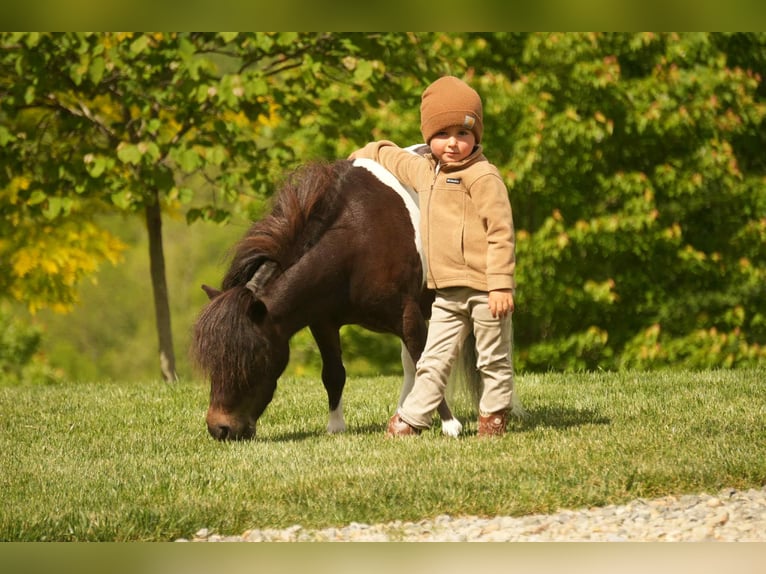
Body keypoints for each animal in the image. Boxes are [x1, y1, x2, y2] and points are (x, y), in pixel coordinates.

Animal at [192, 157, 471, 440]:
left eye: (253, 358)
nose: (220, 429)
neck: (357, 238)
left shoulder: (408, 316)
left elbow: (426, 364)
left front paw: (450, 424)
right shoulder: (323, 323)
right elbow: (333, 373)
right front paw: (336, 427)